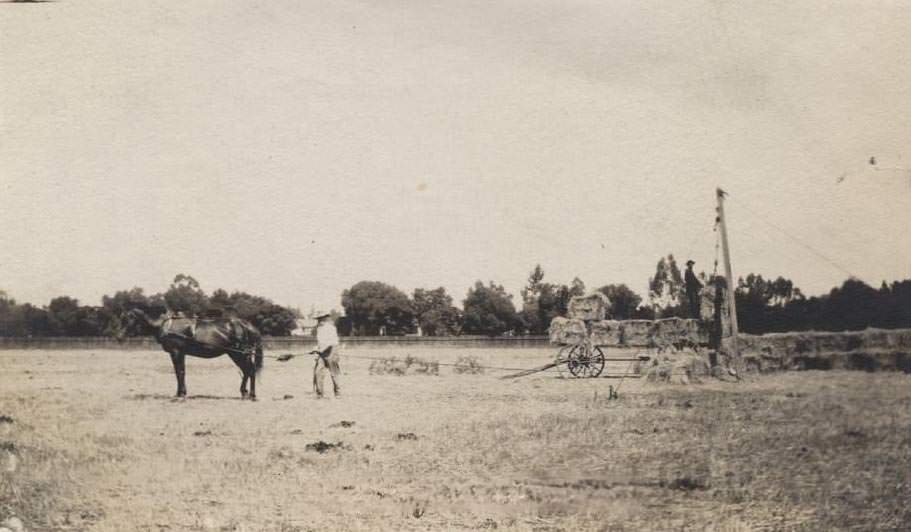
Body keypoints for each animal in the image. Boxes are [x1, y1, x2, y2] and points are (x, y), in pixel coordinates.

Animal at [121, 308, 264, 400]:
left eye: (129, 319)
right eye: (124, 318)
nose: (120, 336)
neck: (166, 325)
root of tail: (247, 325)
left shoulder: (176, 352)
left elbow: (179, 372)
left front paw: (181, 394)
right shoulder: (180, 353)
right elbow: (180, 372)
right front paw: (180, 393)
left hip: (239, 354)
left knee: (250, 370)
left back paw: (251, 395)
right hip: (238, 354)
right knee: (247, 371)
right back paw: (245, 393)